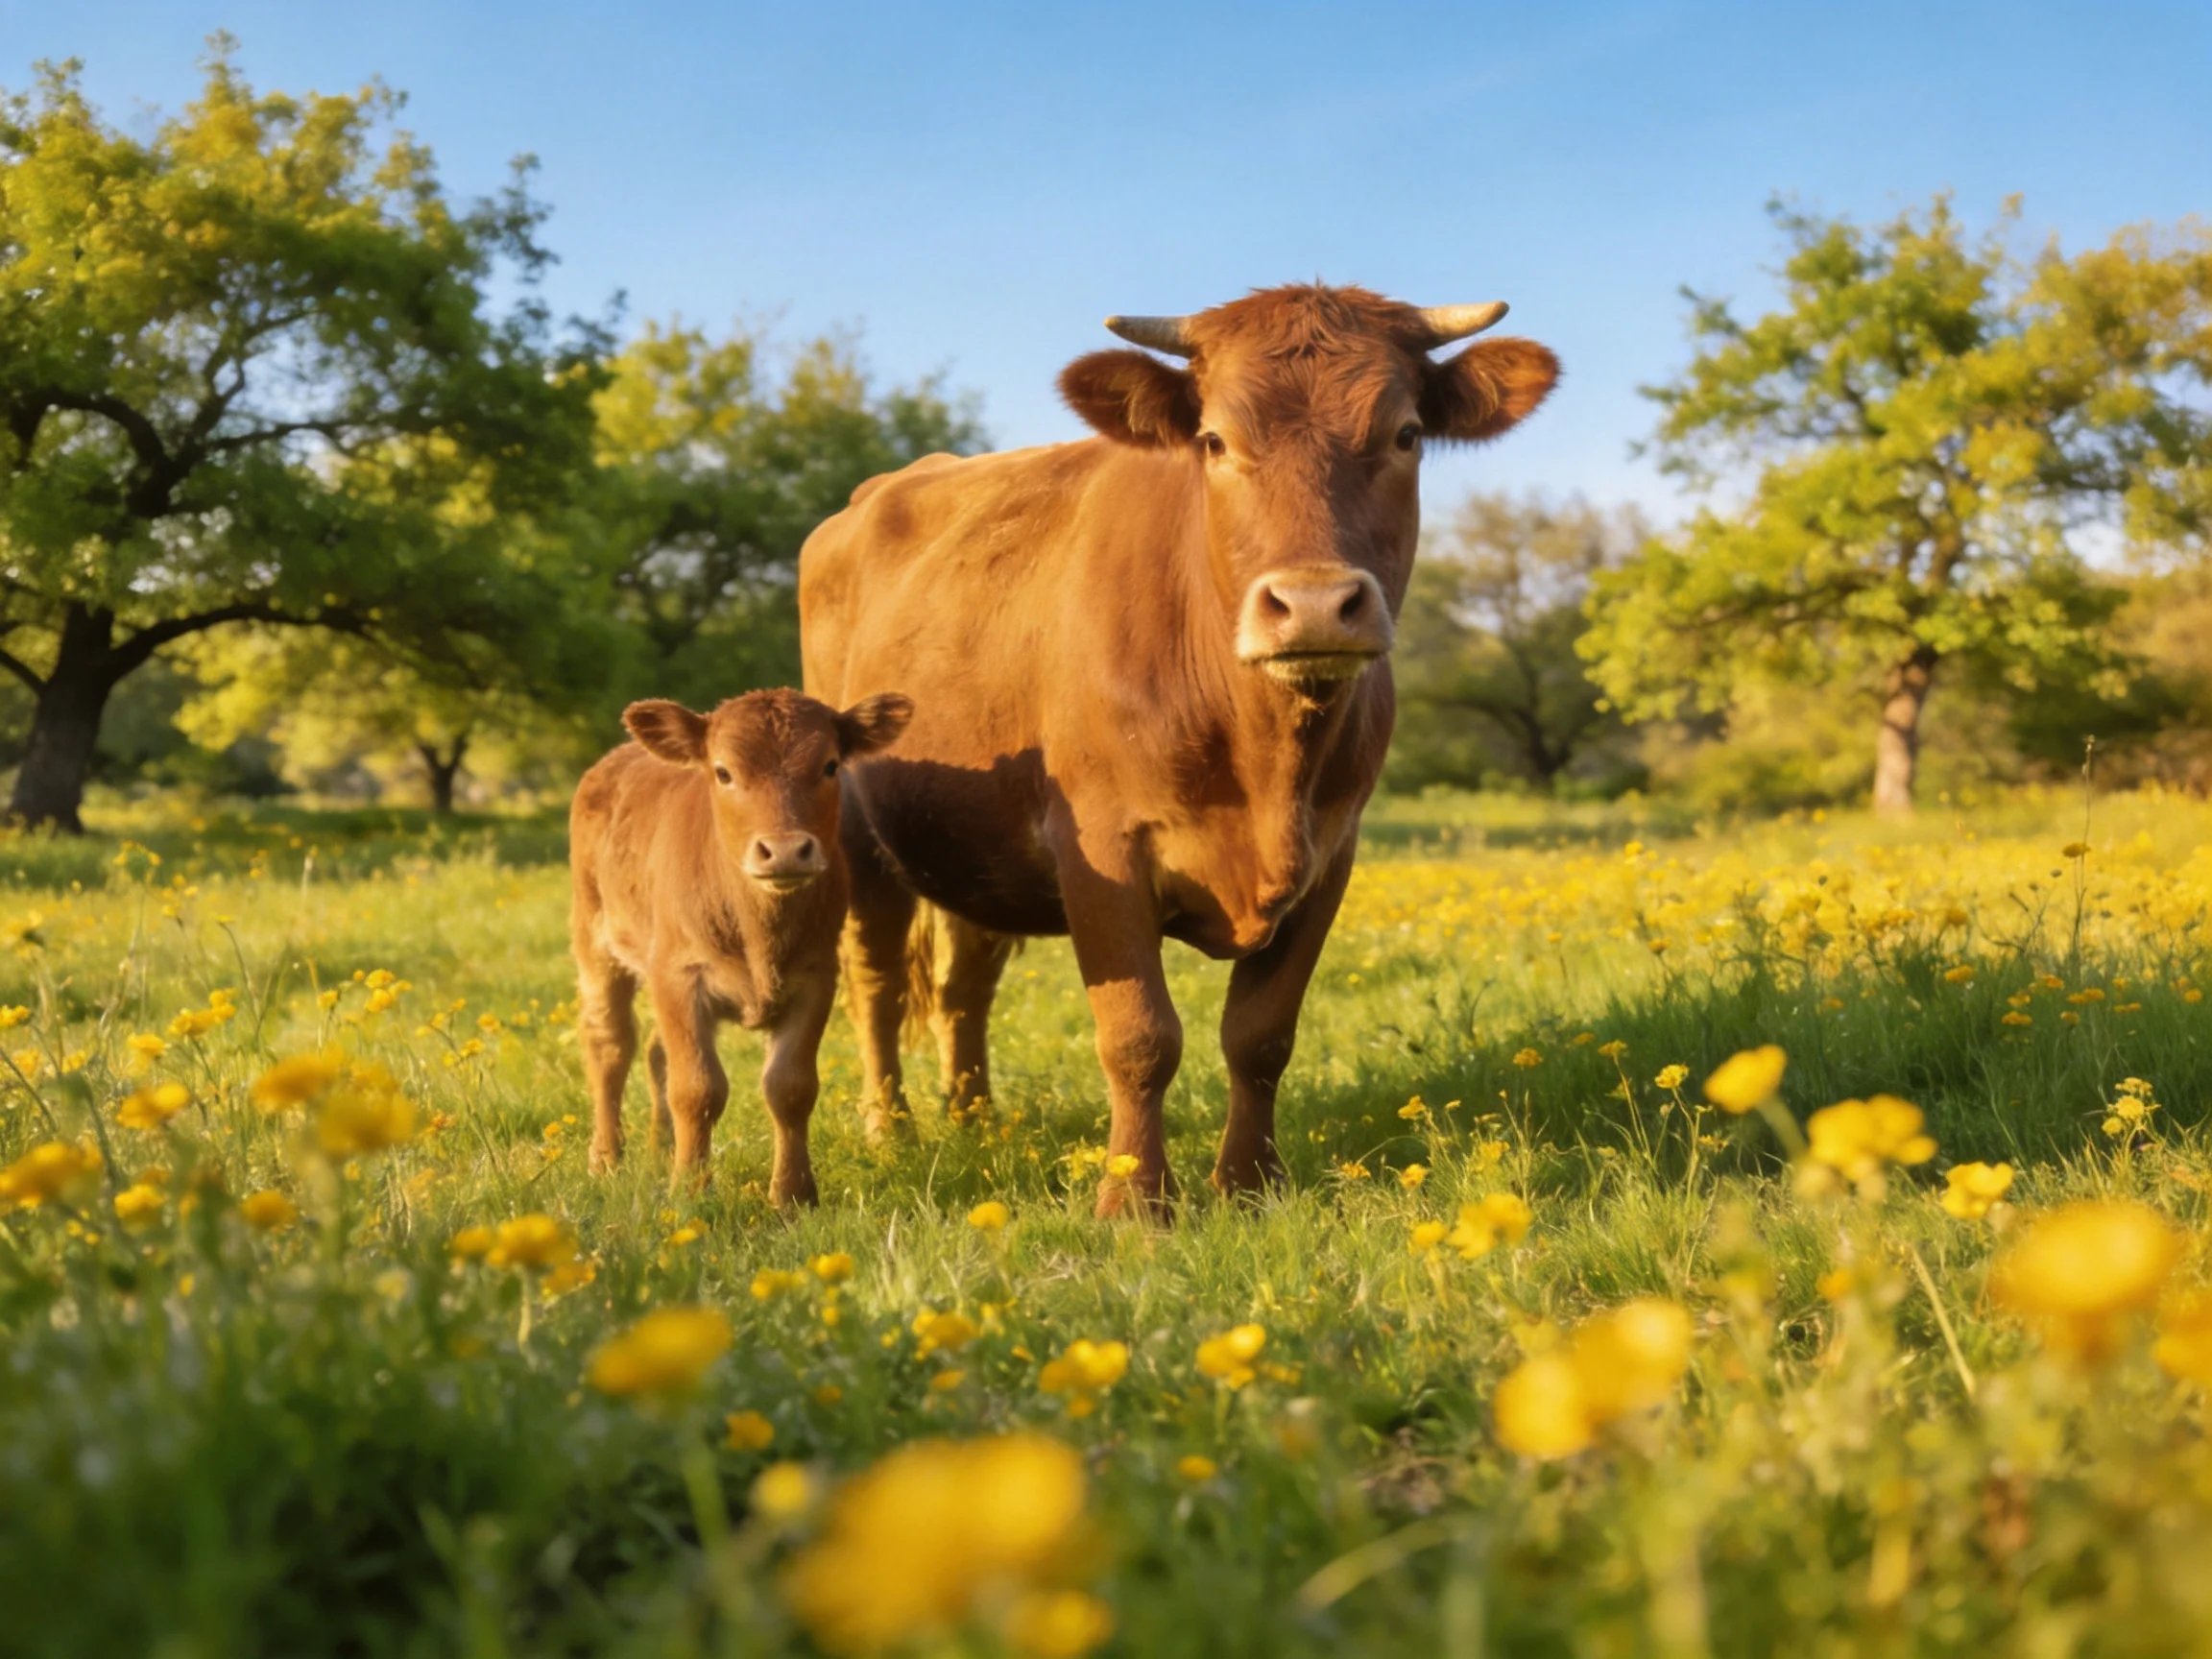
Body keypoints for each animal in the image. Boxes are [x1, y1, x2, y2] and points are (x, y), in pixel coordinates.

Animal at [569, 688, 913, 1202]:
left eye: (831, 765)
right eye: (724, 771)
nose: (786, 850)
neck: (757, 929)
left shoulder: (816, 978)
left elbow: (791, 1087)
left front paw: (793, 1196)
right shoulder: (679, 975)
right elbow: (696, 1088)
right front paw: (690, 1189)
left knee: (653, 1051)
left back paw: (660, 1149)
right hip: (595, 941)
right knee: (610, 1045)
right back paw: (606, 1158)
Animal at [799, 284, 1557, 1216]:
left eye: (1406, 434)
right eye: (1216, 439)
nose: (1313, 605)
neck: (1265, 759)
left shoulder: (1331, 855)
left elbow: (1261, 1035)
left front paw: (1249, 1186)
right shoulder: (1101, 850)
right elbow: (1139, 1038)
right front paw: (1134, 1204)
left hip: (975, 844)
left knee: (962, 985)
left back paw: (976, 1121)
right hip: (857, 835)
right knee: (872, 981)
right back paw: (891, 1128)